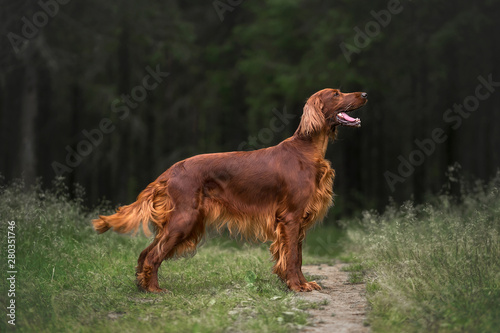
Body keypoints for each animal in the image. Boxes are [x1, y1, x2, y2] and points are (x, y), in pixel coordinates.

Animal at [94, 87, 368, 290]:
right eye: (336, 94)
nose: (365, 94)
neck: (307, 150)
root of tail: (169, 172)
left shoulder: (298, 221)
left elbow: (297, 257)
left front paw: (302, 283)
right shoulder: (291, 218)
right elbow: (291, 257)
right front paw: (295, 286)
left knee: (145, 252)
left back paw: (142, 286)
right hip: (184, 219)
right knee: (152, 255)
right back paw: (154, 290)